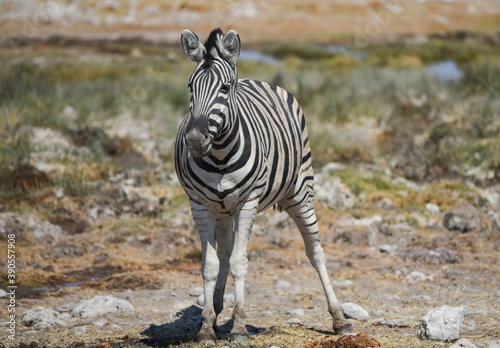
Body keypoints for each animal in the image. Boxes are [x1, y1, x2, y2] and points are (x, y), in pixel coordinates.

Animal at [175, 27, 352, 342]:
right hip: (222, 210)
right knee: (224, 253)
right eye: (190, 87)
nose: (194, 141)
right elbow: (210, 264)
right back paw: (217, 309)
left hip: (301, 191)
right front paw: (206, 326)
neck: (220, 156)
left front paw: (239, 326)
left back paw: (339, 318)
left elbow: (239, 262)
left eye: (224, 88)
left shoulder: (248, 202)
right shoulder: (200, 205)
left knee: (315, 252)